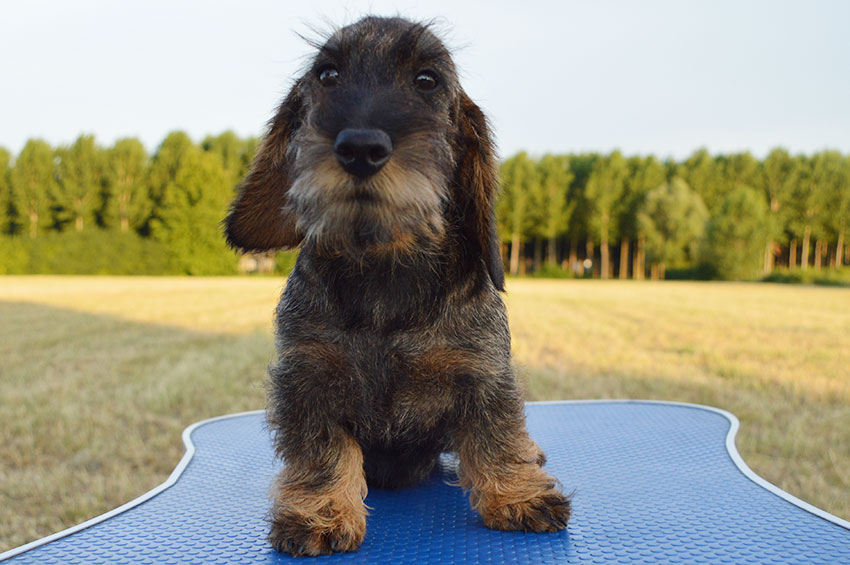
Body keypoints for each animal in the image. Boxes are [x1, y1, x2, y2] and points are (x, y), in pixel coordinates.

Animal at [224, 16, 568, 556]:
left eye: (427, 80)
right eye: (327, 74)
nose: (360, 147)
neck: (384, 270)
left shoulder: (483, 373)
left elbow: (495, 433)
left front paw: (517, 495)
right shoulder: (308, 379)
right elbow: (322, 450)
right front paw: (321, 513)